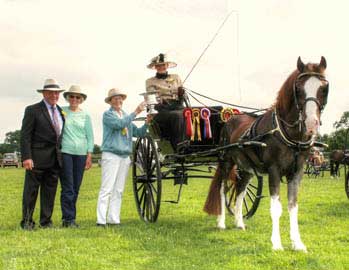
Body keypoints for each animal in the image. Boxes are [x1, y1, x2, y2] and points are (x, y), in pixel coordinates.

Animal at [203, 56, 328, 251]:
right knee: (223, 189)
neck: (288, 134)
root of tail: (229, 120)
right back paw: (221, 222)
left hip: (246, 168)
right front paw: (276, 244)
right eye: (298, 89)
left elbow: (293, 206)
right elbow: (276, 208)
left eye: (324, 88)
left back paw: (239, 223)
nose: (311, 124)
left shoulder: (297, 172)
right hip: (226, 162)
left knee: (240, 190)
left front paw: (297, 243)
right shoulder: (274, 170)